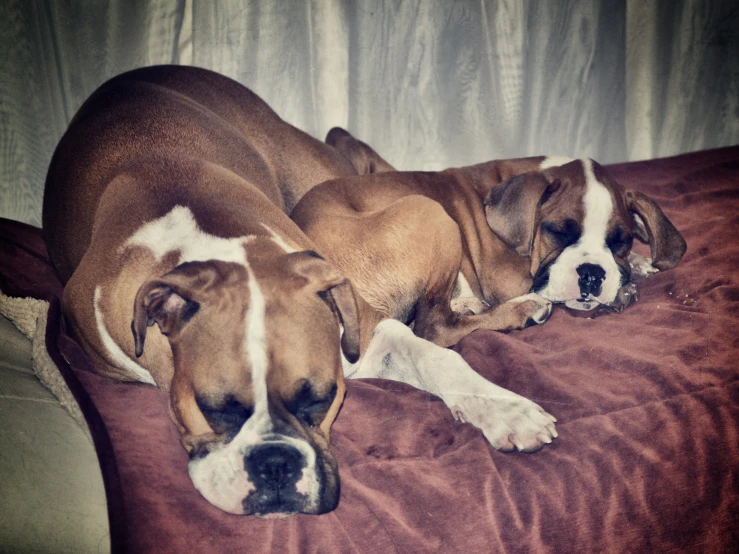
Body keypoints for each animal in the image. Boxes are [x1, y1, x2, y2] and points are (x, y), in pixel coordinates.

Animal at [42, 66, 560, 516]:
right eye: (214, 408)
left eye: (321, 399)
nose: (275, 466)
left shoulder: (366, 335)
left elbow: (437, 357)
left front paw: (506, 409)